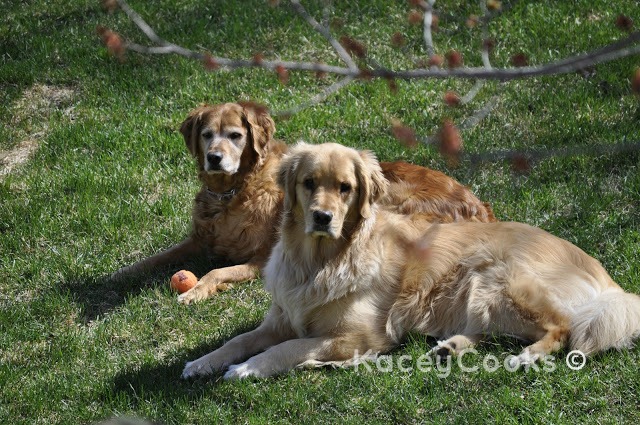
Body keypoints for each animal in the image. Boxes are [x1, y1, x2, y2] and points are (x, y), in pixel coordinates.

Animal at [179, 142, 640, 378]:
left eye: (345, 188)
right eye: (309, 183)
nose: (322, 217)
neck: (321, 262)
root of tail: (604, 276)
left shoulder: (359, 335)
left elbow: (289, 348)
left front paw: (248, 369)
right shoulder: (280, 317)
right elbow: (238, 340)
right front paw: (203, 362)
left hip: (498, 278)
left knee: (561, 329)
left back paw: (525, 356)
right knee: (490, 331)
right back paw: (450, 348)